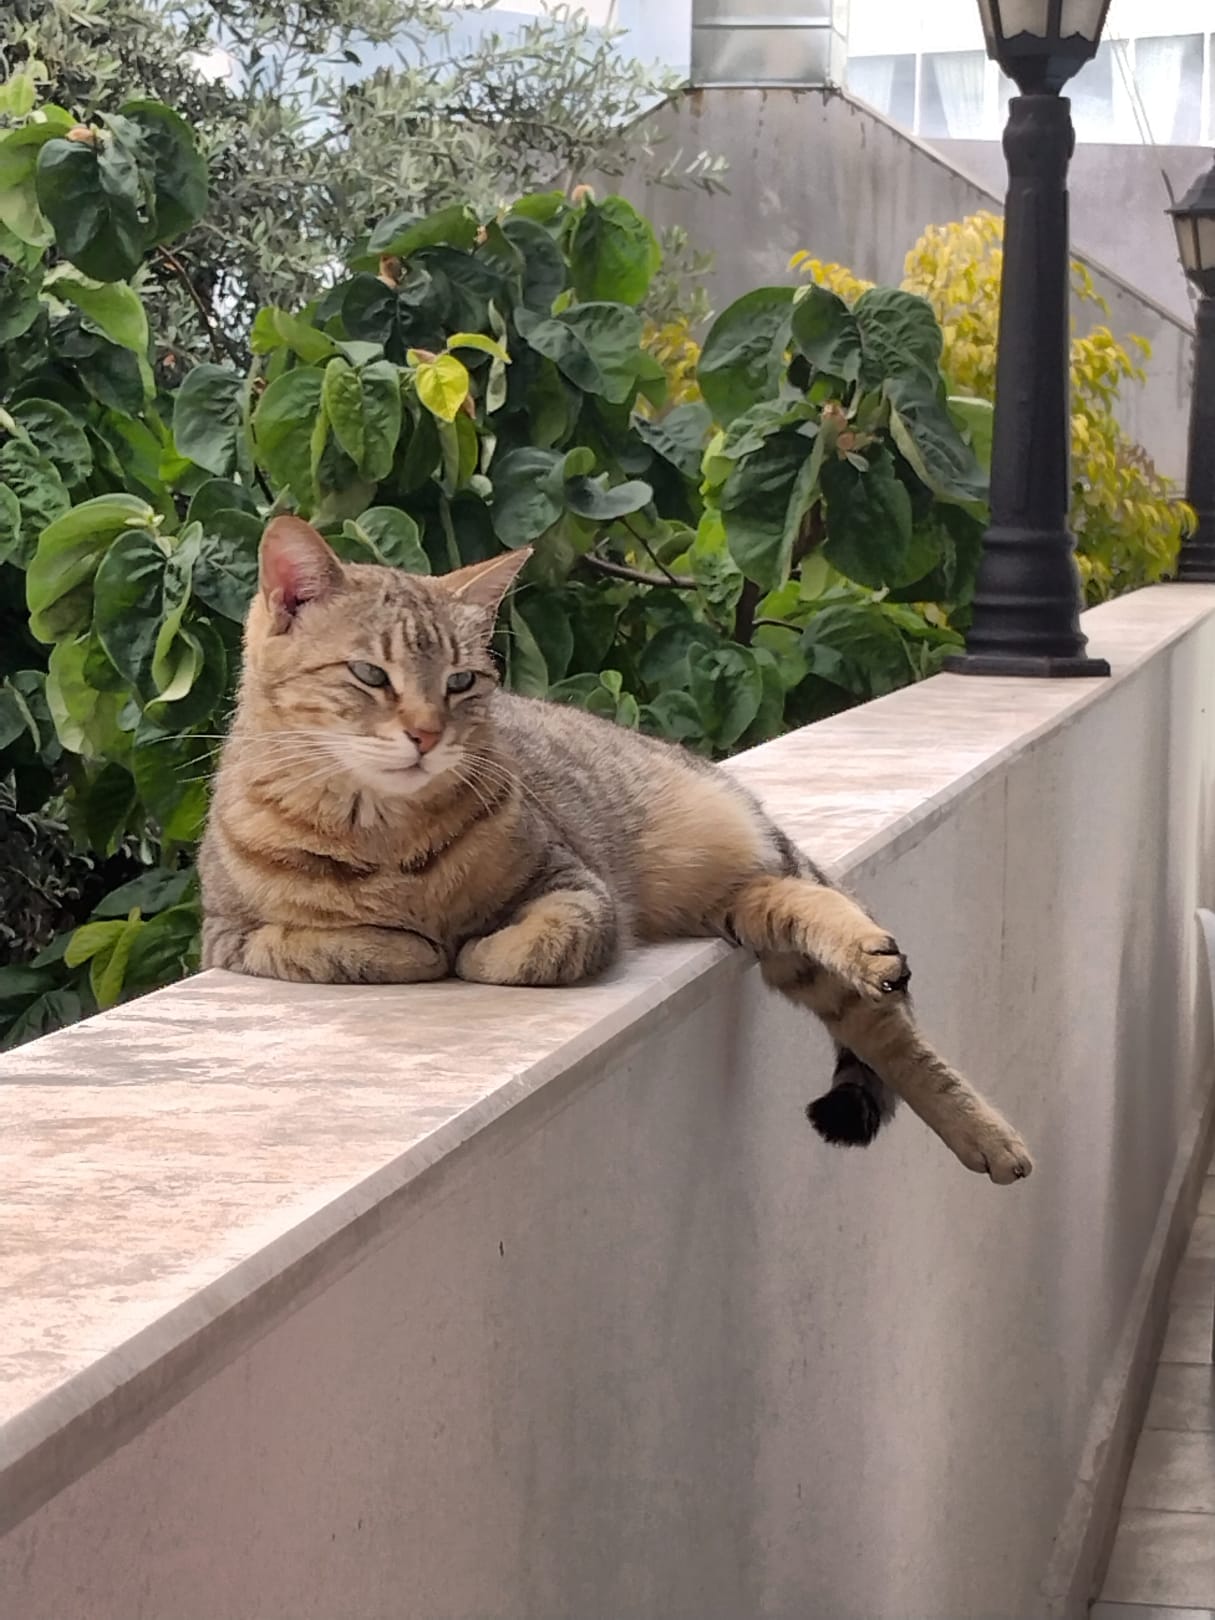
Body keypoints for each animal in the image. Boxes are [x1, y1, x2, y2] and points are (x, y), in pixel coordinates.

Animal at [199, 515, 1032, 1185]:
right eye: (370, 673)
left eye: (461, 681)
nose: (427, 734)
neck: (383, 832)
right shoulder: (231, 937)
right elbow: (350, 943)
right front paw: (417, 943)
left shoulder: (575, 883)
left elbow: (536, 946)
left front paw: (477, 948)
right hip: (750, 914)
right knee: (813, 942)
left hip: (756, 857)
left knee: (885, 1015)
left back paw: (977, 1116)